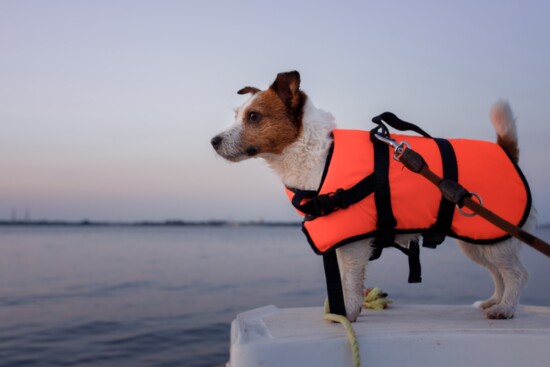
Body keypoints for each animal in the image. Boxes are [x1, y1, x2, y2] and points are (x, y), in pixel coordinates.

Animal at [211, 71, 536, 322]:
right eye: (236, 115)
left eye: (254, 117)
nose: (213, 141)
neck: (317, 154)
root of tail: (506, 151)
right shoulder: (339, 241)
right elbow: (342, 283)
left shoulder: (354, 245)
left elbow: (351, 283)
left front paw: (348, 313)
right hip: (480, 241)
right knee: (498, 274)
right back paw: (494, 301)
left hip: (495, 241)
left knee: (517, 274)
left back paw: (506, 309)